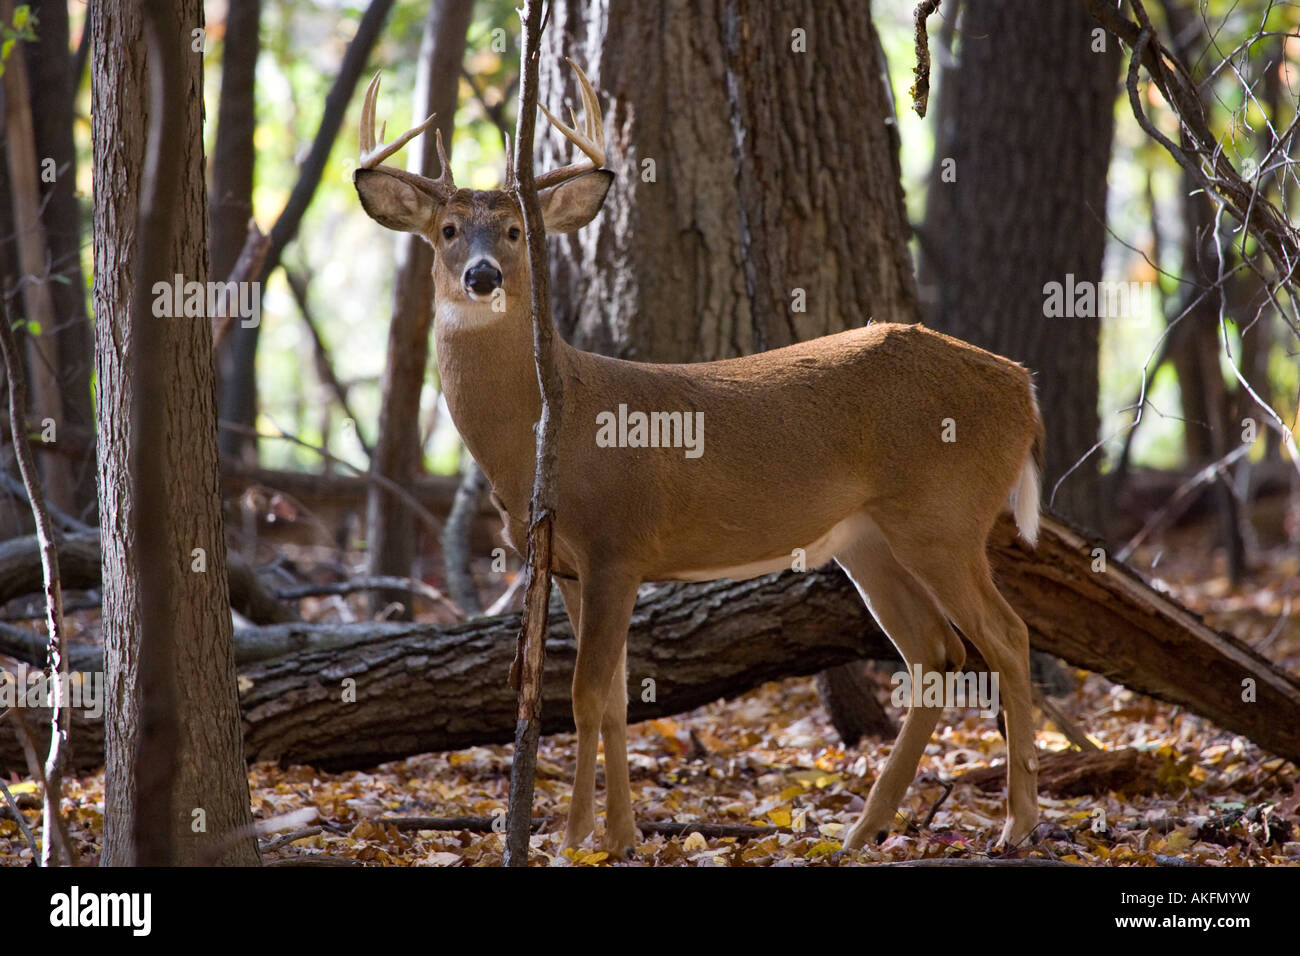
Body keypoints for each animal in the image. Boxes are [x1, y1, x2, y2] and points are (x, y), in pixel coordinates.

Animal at [353, 59, 1045, 858]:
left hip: (945, 516)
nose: (484, 276)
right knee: (935, 651)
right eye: (447, 231)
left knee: (1007, 636)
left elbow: (587, 695)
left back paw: (1017, 823)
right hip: (868, 538)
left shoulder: (618, 542)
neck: (554, 418)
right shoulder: (568, 562)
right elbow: (612, 697)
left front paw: (580, 839)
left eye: (517, 230)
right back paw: (863, 829)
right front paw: (616, 835)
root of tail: (1024, 390)